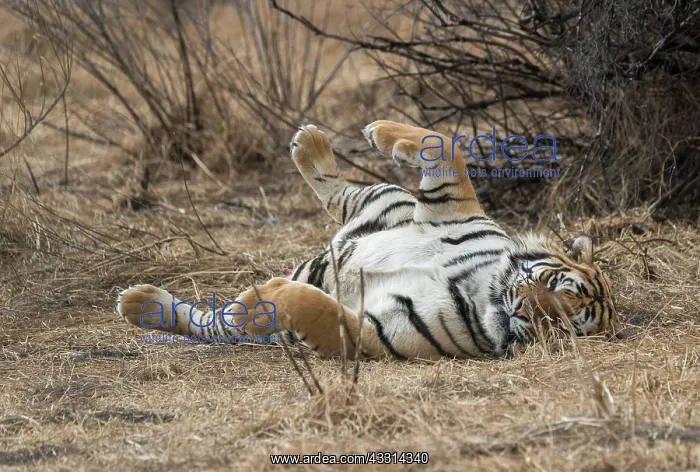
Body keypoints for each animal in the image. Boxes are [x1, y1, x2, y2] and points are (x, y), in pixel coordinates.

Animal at [116, 120, 621, 360]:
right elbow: (449, 149)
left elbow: (317, 308)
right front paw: (385, 133)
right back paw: (312, 143)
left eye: (562, 324)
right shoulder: (453, 208)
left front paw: (270, 294)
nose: (522, 311)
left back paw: (143, 303)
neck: (485, 292)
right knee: (342, 193)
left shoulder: (373, 334)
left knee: (214, 323)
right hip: (389, 202)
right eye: (554, 287)